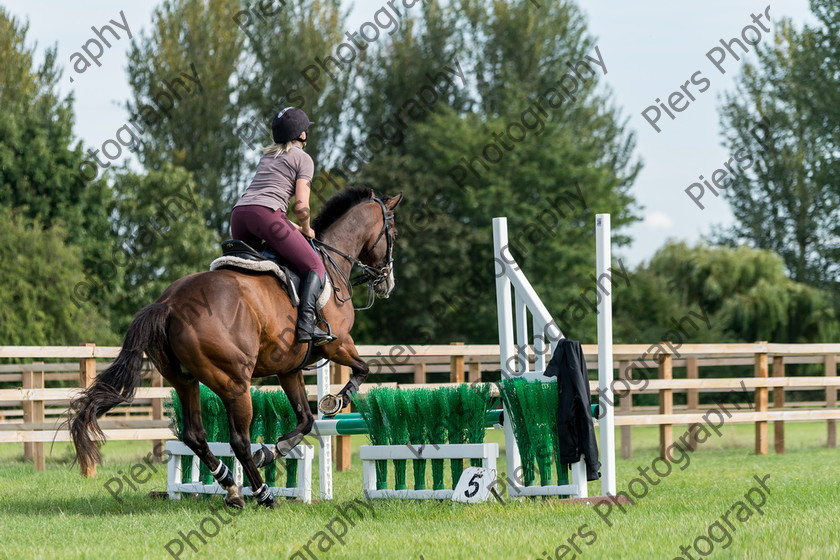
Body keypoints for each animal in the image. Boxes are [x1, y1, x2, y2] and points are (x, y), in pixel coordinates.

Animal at [69, 187, 404, 508]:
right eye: (394, 232)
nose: (388, 283)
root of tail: (170, 304)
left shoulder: (289, 369)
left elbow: (306, 420)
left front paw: (274, 449)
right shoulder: (339, 345)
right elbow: (362, 370)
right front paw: (335, 401)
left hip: (185, 380)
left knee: (195, 435)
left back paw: (231, 486)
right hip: (235, 383)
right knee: (239, 440)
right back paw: (263, 495)